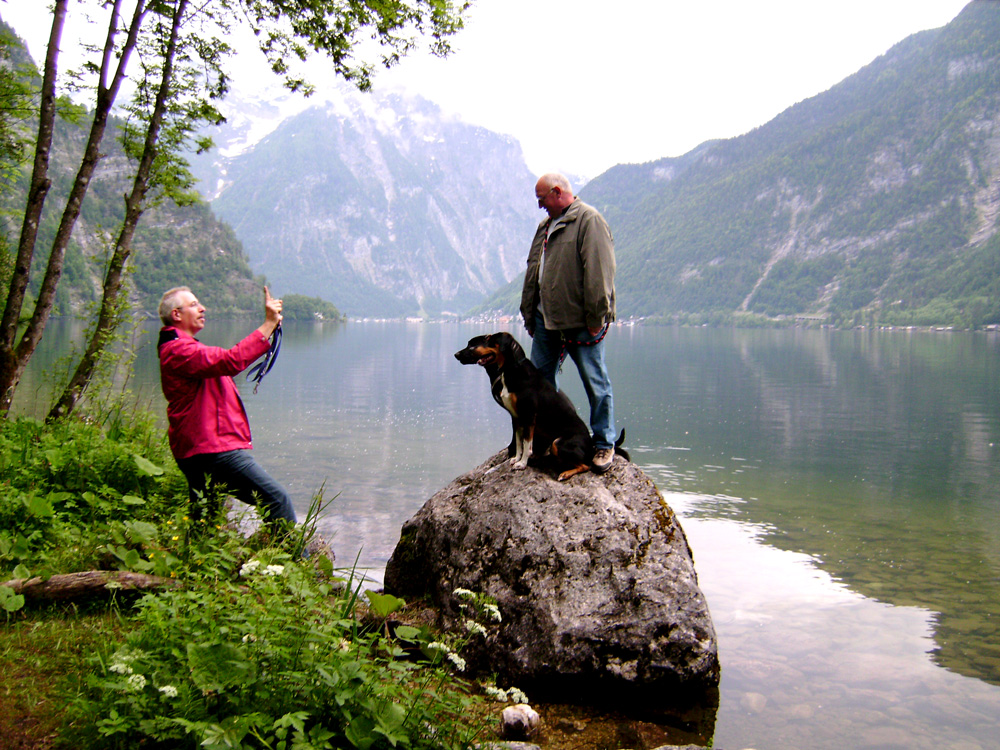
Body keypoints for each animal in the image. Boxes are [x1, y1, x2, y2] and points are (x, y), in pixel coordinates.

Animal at [458, 334, 628, 482]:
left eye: (489, 340)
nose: (456, 354)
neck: (512, 369)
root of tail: (591, 446)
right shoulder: (516, 417)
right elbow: (519, 443)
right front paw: (516, 459)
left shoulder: (528, 416)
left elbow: (527, 444)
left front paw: (522, 464)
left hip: (558, 442)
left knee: (586, 465)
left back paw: (565, 473)